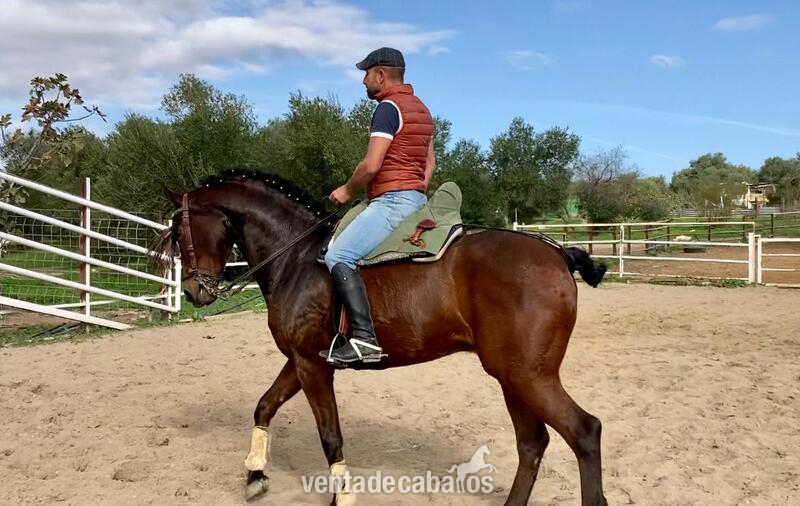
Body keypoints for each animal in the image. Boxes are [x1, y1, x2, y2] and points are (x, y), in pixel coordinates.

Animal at [153, 170, 609, 506]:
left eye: (179, 230)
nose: (193, 292)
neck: (296, 257)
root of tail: (556, 253)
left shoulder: (313, 367)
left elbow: (330, 436)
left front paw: (342, 498)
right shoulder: (300, 360)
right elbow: (264, 407)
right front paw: (254, 475)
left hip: (529, 376)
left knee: (584, 432)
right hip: (512, 377)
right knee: (532, 443)